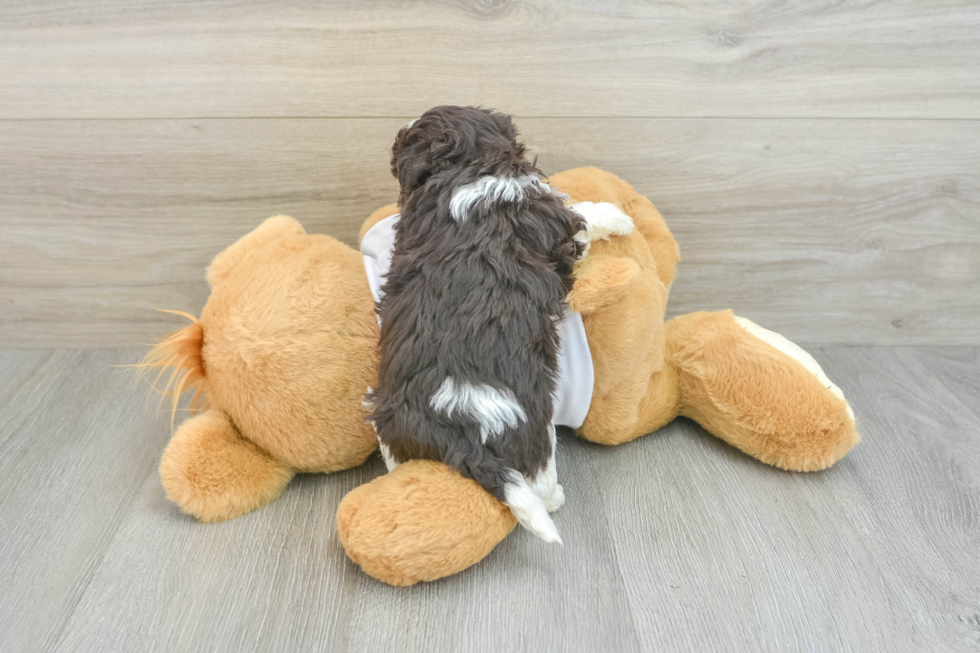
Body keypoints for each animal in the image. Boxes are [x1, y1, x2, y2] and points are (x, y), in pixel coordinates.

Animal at [366, 105, 580, 540]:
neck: (465, 166)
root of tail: (454, 421)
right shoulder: (552, 223)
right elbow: (587, 218)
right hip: (533, 428)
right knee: (538, 473)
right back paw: (554, 499)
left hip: (391, 423)